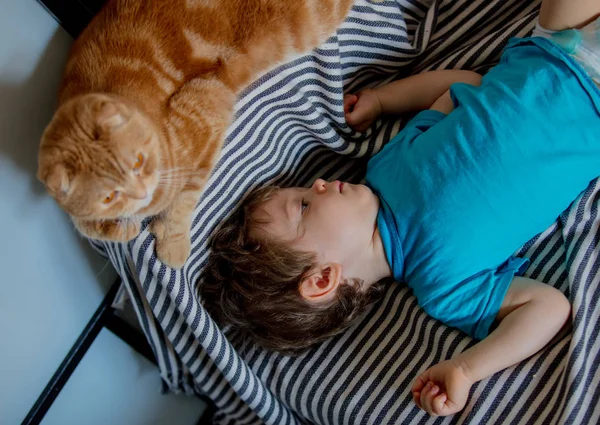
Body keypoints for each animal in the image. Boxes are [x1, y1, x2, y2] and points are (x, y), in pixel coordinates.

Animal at [37, 0, 354, 264]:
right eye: (107, 197)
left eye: (138, 161)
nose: (141, 192)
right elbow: (92, 227)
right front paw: (118, 227)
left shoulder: (210, 101)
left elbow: (183, 201)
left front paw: (170, 241)